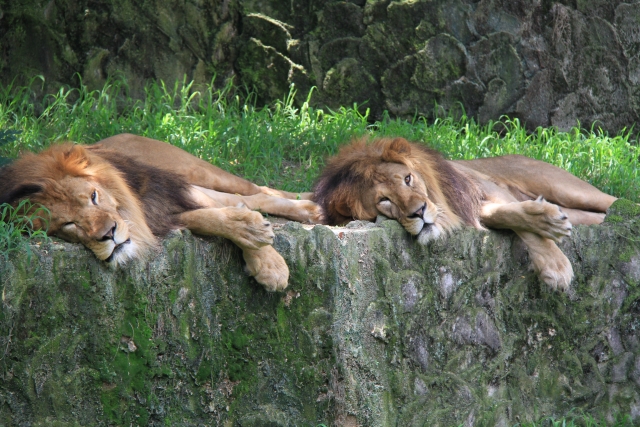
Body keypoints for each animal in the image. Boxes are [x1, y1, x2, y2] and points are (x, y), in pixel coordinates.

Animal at [0, 134, 320, 292]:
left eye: (93, 196)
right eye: (69, 224)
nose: (109, 235)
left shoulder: (172, 190)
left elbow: (230, 208)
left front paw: (269, 263)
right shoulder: (162, 215)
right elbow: (211, 218)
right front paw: (256, 243)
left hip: (195, 170)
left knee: (257, 188)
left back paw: (311, 206)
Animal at [312, 139, 616, 292]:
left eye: (408, 179)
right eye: (384, 201)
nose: (419, 212)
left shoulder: (488, 193)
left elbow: (516, 214)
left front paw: (555, 263)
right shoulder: (474, 209)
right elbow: (510, 216)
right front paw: (553, 256)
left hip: (564, 187)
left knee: (614, 200)